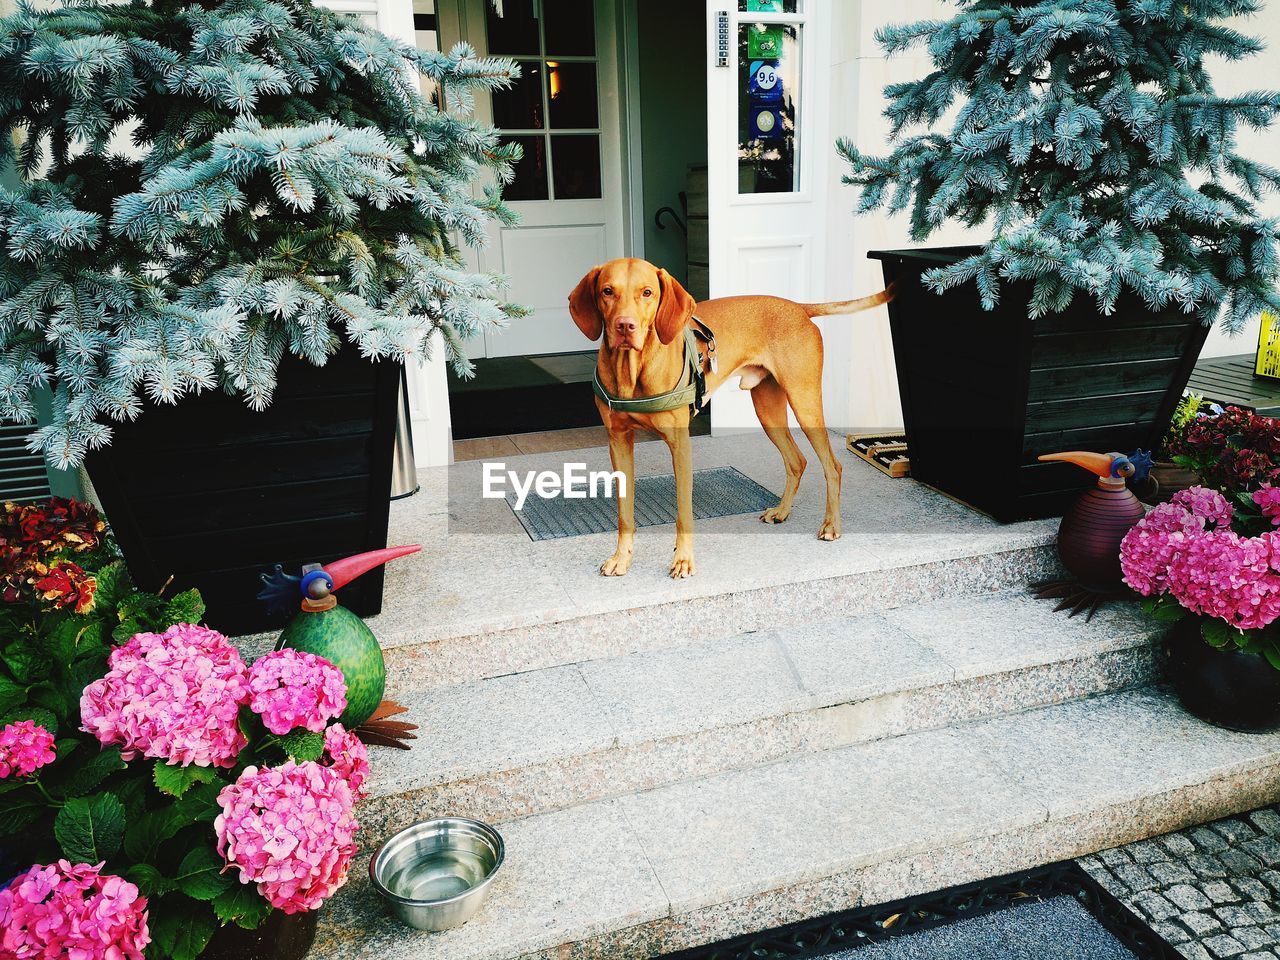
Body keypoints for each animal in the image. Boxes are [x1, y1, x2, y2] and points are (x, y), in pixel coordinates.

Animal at [570, 257, 890, 578]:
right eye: (607, 291)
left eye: (647, 292)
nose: (625, 325)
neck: (632, 372)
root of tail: (798, 307)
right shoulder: (619, 442)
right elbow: (624, 513)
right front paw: (621, 558)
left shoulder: (680, 445)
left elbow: (684, 513)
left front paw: (683, 560)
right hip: (767, 410)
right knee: (796, 461)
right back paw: (782, 511)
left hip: (805, 401)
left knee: (832, 466)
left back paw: (831, 525)